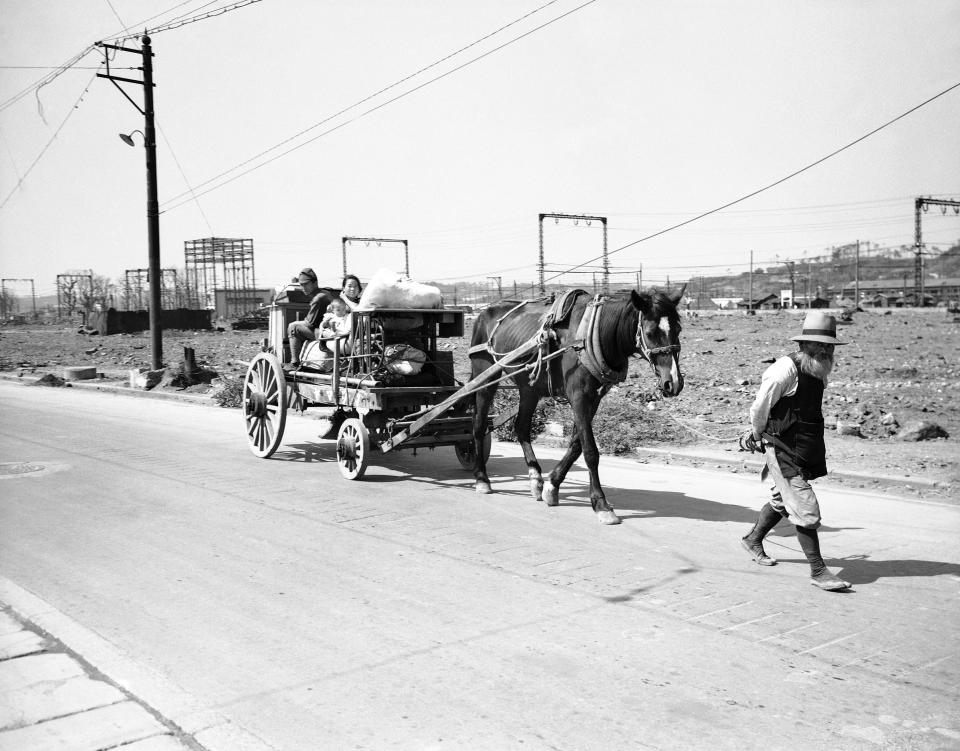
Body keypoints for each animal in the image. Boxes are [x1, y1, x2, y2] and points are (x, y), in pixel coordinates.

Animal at [466, 290, 684, 524]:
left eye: (678, 329)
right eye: (651, 332)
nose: (673, 382)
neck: (593, 333)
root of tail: (484, 313)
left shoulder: (594, 399)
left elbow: (576, 445)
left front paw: (552, 485)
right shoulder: (578, 397)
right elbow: (590, 451)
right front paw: (601, 504)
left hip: (529, 386)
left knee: (521, 427)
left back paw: (535, 477)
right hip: (485, 376)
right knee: (478, 425)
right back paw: (481, 478)